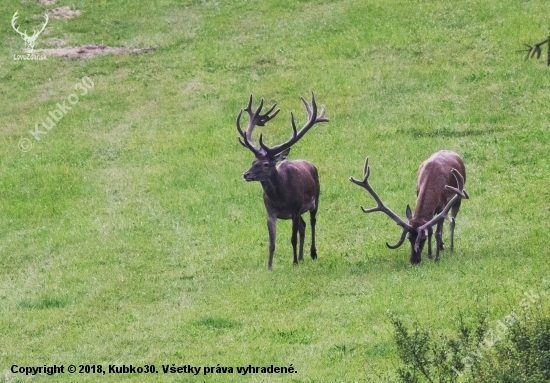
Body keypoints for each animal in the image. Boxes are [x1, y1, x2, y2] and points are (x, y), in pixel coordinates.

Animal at [236, 94, 328, 270]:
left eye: (266, 164)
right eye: (253, 162)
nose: (246, 174)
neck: (280, 199)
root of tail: (311, 164)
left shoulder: (295, 209)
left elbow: (292, 238)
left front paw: (294, 262)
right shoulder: (270, 213)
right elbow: (272, 243)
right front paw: (269, 267)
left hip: (316, 199)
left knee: (312, 223)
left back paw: (312, 253)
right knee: (303, 226)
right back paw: (302, 257)